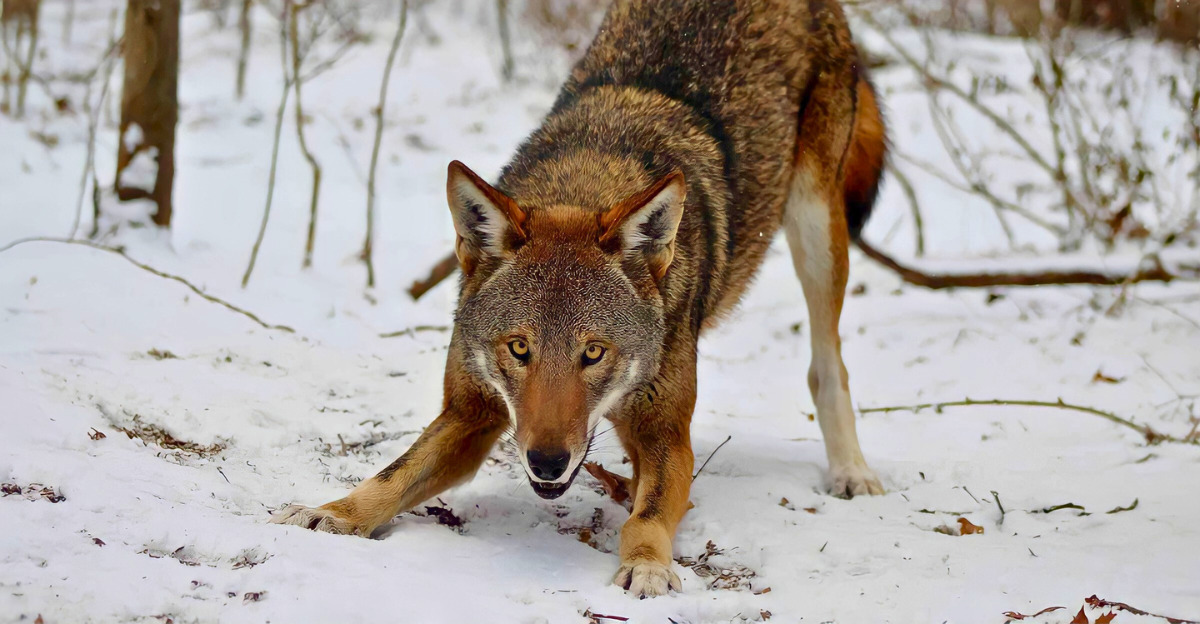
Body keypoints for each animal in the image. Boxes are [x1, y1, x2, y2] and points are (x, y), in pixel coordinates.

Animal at [273, 0, 887, 597]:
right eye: (519, 349)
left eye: (593, 352)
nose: (547, 463)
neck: (587, 181)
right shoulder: (469, 412)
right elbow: (393, 475)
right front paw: (333, 514)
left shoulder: (667, 434)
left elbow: (648, 517)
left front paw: (647, 565)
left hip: (815, 227)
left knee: (827, 363)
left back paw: (851, 472)